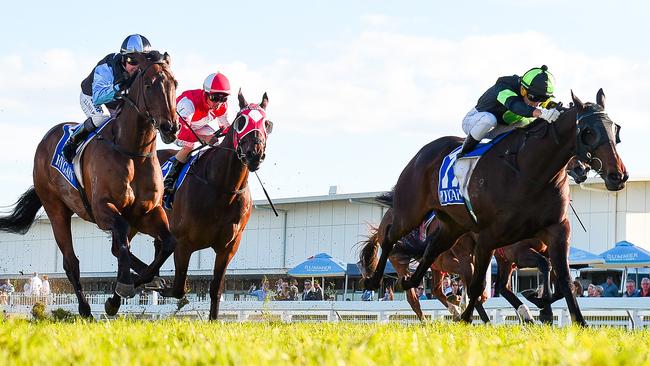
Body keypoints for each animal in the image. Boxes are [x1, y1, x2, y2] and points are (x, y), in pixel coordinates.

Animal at [0, 52, 180, 318]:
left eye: (174, 83)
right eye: (149, 85)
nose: (171, 127)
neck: (132, 151)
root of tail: (46, 139)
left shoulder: (147, 211)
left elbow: (167, 243)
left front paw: (133, 286)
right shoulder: (103, 209)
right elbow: (122, 239)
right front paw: (122, 290)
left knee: (119, 248)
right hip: (56, 209)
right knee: (71, 261)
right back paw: (85, 309)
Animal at [139, 90, 274, 318]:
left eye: (267, 123)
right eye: (241, 121)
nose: (255, 154)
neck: (221, 188)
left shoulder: (228, 247)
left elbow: (215, 289)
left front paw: (213, 320)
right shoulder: (184, 243)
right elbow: (179, 288)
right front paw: (160, 286)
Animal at [362, 90, 624, 324]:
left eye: (615, 129)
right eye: (588, 131)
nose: (618, 175)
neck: (531, 172)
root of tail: (421, 154)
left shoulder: (556, 230)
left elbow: (564, 278)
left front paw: (573, 319)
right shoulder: (492, 240)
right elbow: (479, 285)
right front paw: (471, 319)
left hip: (452, 227)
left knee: (432, 252)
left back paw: (413, 284)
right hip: (412, 214)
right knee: (390, 239)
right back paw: (375, 281)